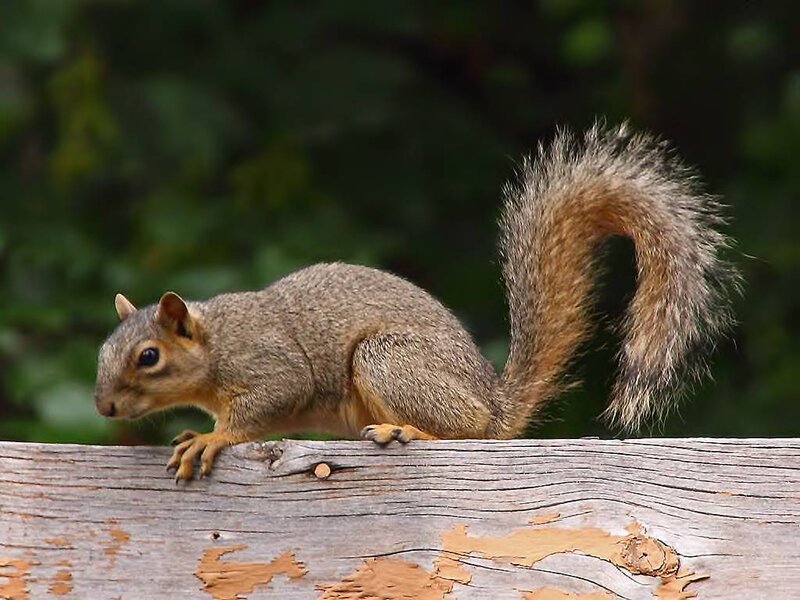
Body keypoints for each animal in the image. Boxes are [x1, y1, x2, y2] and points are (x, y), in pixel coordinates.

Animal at [94, 123, 738, 481]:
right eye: (105, 351)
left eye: (148, 357)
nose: (103, 407)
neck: (218, 340)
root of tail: (494, 405)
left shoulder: (271, 366)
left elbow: (262, 407)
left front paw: (210, 438)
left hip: (388, 360)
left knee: (464, 432)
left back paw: (407, 432)